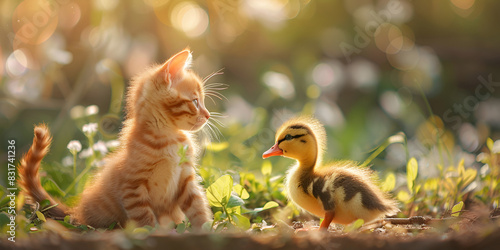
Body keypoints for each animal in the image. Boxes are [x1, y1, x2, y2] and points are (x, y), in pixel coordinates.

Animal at [19, 49, 213, 230]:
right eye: (195, 102)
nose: (208, 115)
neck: (169, 139)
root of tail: (75, 212)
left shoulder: (186, 178)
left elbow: (197, 205)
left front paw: (205, 228)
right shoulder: (132, 188)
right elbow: (144, 217)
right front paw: (152, 232)